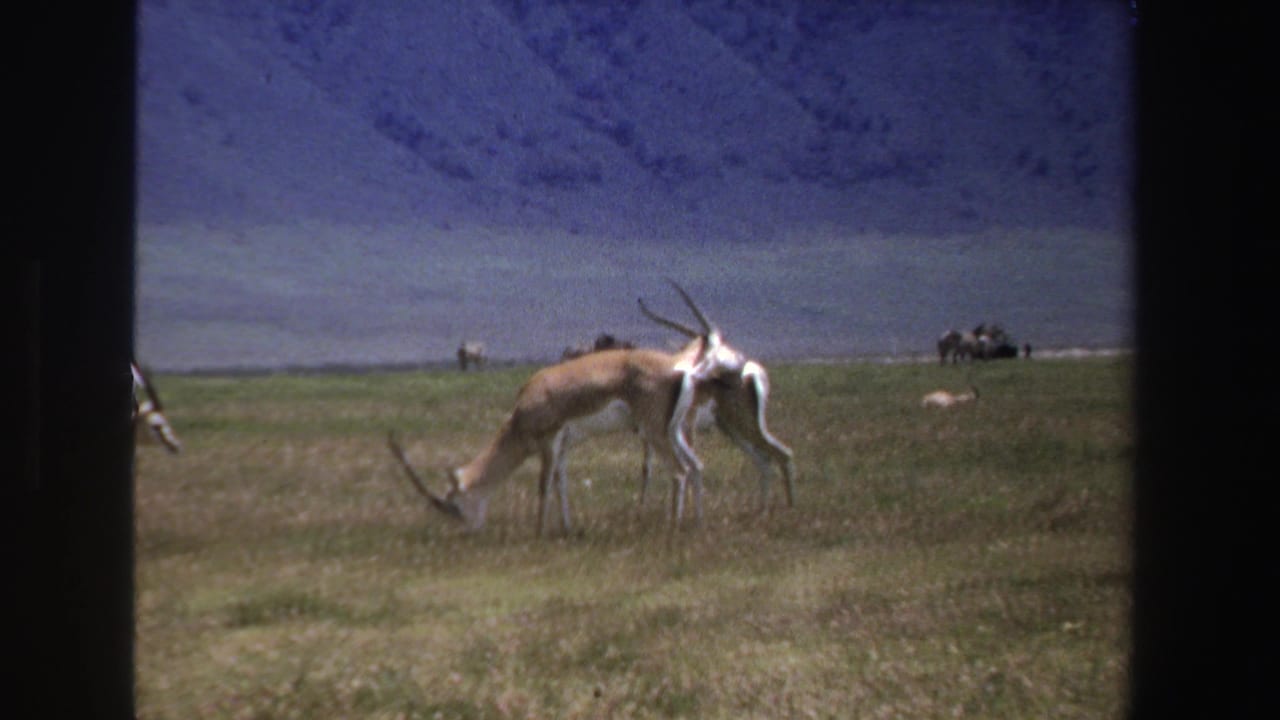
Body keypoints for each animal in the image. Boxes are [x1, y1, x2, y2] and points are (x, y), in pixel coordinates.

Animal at [389, 282, 745, 534]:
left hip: (656, 433)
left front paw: (539, 532)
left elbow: (544, 484)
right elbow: (562, 482)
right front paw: (567, 528)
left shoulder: (549, 442)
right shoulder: (565, 446)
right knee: (695, 466)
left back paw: (673, 527)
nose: (469, 530)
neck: (523, 410)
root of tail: (681, 369)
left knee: (680, 471)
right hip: (674, 431)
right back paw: (696, 524)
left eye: (453, 505)